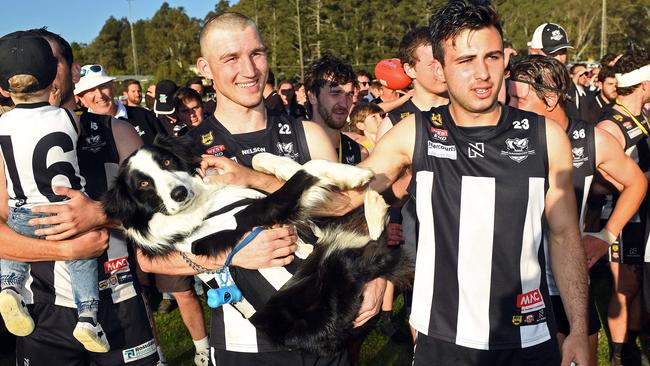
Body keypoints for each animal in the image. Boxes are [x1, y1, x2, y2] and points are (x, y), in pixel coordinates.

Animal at [104, 137, 412, 354]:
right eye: (143, 183)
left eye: (167, 162)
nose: (179, 193)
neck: (205, 203)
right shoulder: (257, 213)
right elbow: (307, 170)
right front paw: (353, 174)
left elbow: (262, 159)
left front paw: (298, 167)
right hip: (336, 272)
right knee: (375, 252)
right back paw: (375, 209)